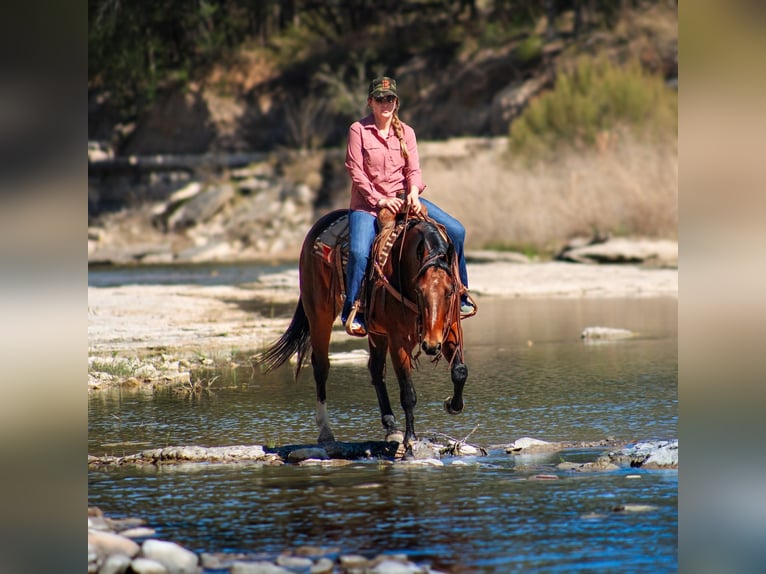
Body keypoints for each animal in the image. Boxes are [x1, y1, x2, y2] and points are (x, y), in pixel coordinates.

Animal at [254, 208, 473, 455]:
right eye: (419, 290)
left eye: (450, 291)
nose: (431, 345)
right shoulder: (398, 339)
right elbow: (408, 392)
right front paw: (411, 439)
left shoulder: (449, 328)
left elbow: (460, 371)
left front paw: (453, 405)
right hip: (319, 314)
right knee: (321, 366)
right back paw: (326, 432)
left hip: (377, 332)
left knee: (375, 369)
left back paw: (391, 427)